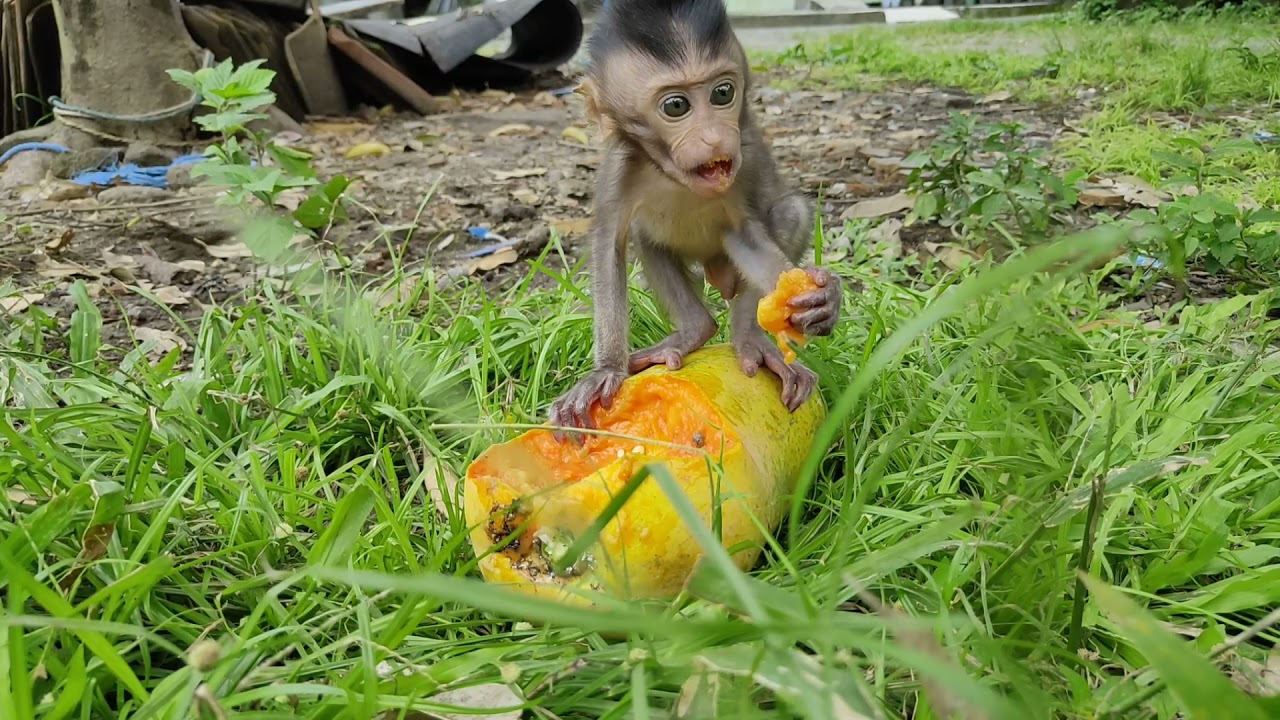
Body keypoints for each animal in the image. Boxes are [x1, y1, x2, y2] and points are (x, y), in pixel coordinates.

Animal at [549, 0, 842, 439]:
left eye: (723, 93)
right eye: (676, 106)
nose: (715, 139)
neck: (672, 174)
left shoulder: (741, 166)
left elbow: (747, 234)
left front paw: (823, 300)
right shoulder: (619, 167)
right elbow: (609, 244)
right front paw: (606, 371)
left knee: (790, 212)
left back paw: (749, 338)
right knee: (644, 234)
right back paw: (695, 331)